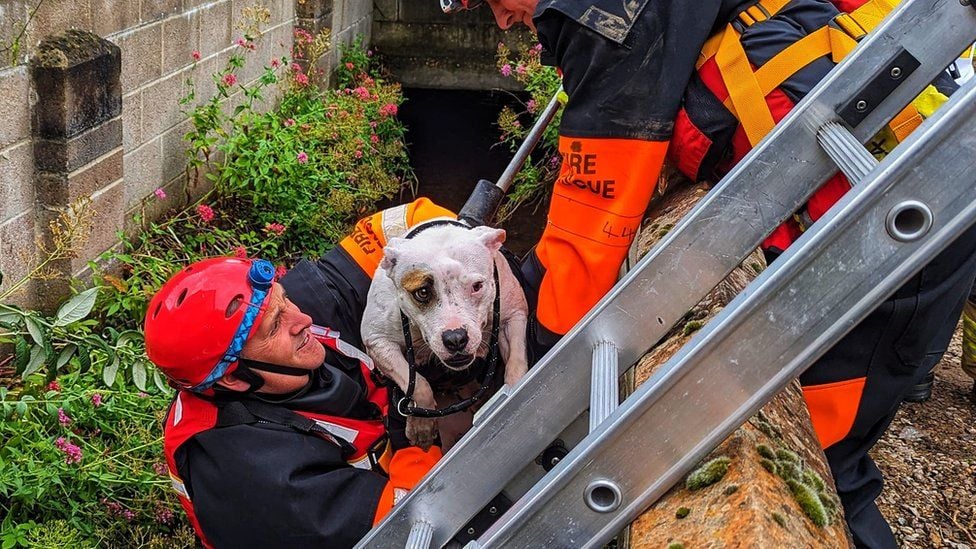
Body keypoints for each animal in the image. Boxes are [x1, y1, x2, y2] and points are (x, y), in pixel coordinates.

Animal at [360, 219, 528, 450]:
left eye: (477, 286)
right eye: (422, 292)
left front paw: (515, 391)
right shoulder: (377, 340)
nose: (456, 338)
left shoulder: (514, 315)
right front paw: (421, 426)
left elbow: (516, 363)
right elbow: (418, 384)